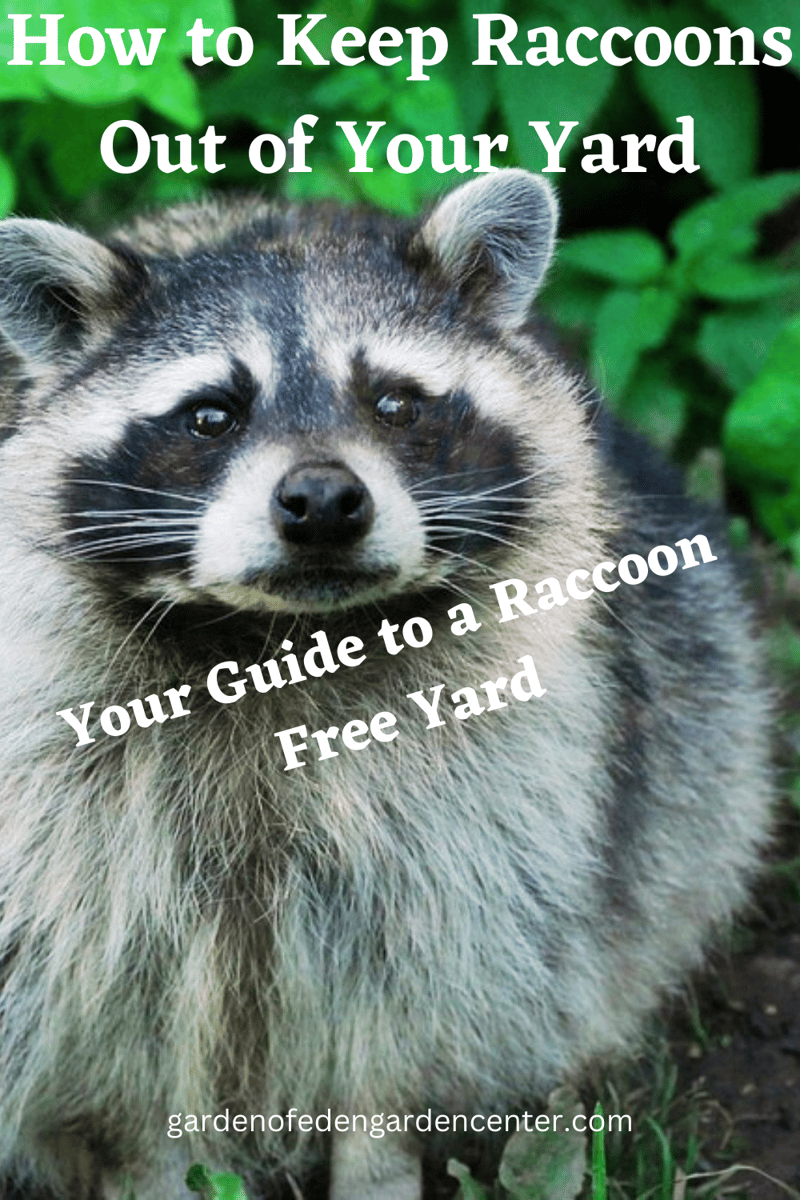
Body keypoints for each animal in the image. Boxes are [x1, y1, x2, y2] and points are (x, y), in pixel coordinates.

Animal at [0, 170, 772, 1200]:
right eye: (211, 415)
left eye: (395, 403)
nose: (324, 502)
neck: (286, 640)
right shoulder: (69, 808)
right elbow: (108, 1016)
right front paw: (144, 1162)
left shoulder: (497, 786)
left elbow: (425, 982)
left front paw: (380, 1156)